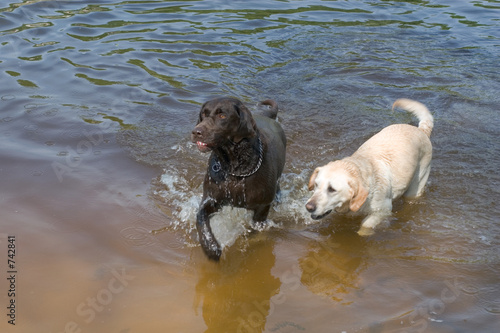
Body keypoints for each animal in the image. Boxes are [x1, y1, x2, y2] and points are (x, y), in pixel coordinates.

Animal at [191, 96, 286, 260]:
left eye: (222, 116)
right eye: (204, 114)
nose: (196, 132)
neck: (233, 168)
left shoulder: (262, 207)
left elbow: (254, 229)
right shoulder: (211, 199)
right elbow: (201, 220)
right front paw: (211, 247)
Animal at [304, 97, 434, 235]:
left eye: (332, 189)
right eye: (316, 184)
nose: (308, 207)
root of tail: (421, 130)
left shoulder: (382, 211)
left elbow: (365, 226)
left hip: (417, 184)